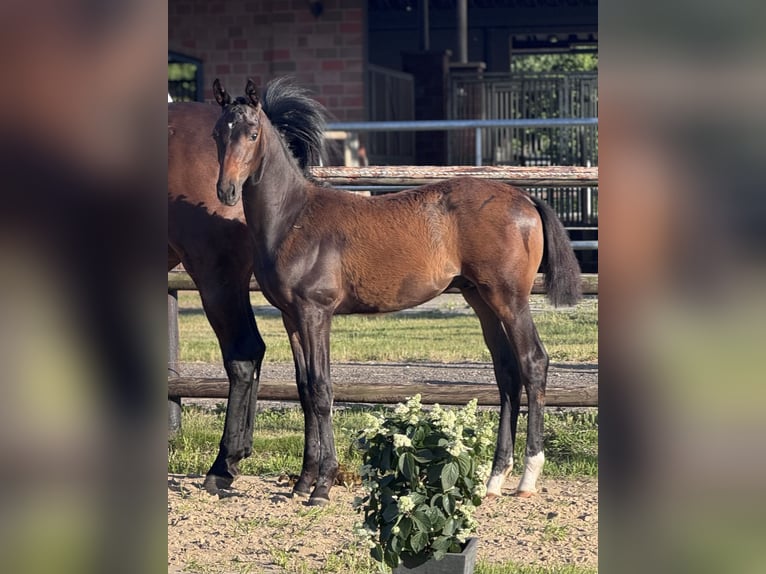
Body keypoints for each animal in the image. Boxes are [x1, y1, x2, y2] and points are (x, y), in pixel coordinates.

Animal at [212, 78, 582, 506]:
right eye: (217, 133)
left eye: (252, 133)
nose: (226, 190)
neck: (293, 218)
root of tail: (525, 199)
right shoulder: (291, 317)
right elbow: (304, 390)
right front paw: (302, 482)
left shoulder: (315, 313)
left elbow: (321, 390)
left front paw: (322, 486)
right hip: (481, 299)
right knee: (506, 372)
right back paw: (493, 479)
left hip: (510, 299)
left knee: (533, 363)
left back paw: (527, 477)